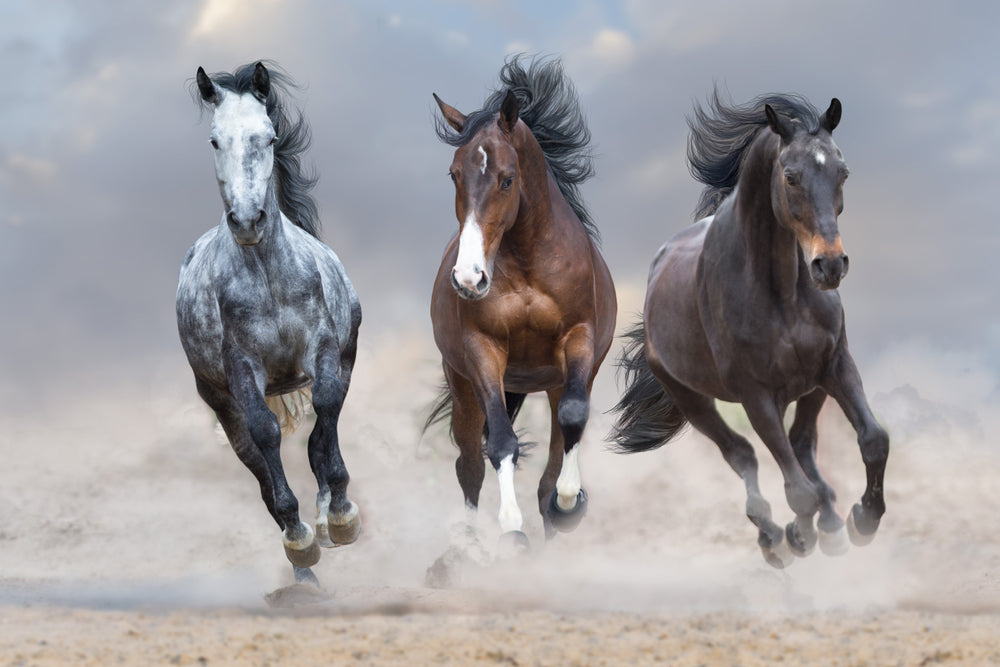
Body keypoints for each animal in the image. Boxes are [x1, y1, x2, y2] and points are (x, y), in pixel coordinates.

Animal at [177, 62, 364, 584]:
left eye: (269, 136)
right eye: (215, 140)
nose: (247, 221)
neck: (267, 276)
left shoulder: (324, 351)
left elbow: (324, 414)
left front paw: (341, 517)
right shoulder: (242, 370)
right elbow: (265, 436)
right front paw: (300, 540)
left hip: (344, 359)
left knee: (321, 433)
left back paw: (325, 522)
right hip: (220, 401)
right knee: (257, 464)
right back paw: (303, 569)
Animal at [428, 56, 616, 548]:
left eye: (507, 179)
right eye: (454, 174)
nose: (469, 278)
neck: (530, 263)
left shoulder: (578, 340)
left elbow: (572, 420)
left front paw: (569, 504)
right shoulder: (483, 350)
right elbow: (500, 443)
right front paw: (511, 529)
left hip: (554, 380)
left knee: (556, 444)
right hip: (463, 385)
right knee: (469, 463)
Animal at [612, 91, 888, 568]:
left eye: (842, 171)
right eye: (790, 176)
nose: (830, 265)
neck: (782, 293)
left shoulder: (836, 364)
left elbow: (873, 440)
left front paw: (862, 521)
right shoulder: (755, 393)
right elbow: (795, 489)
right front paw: (799, 536)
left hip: (810, 386)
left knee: (801, 444)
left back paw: (831, 524)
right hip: (691, 397)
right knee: (742, 454)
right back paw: (774, 536)